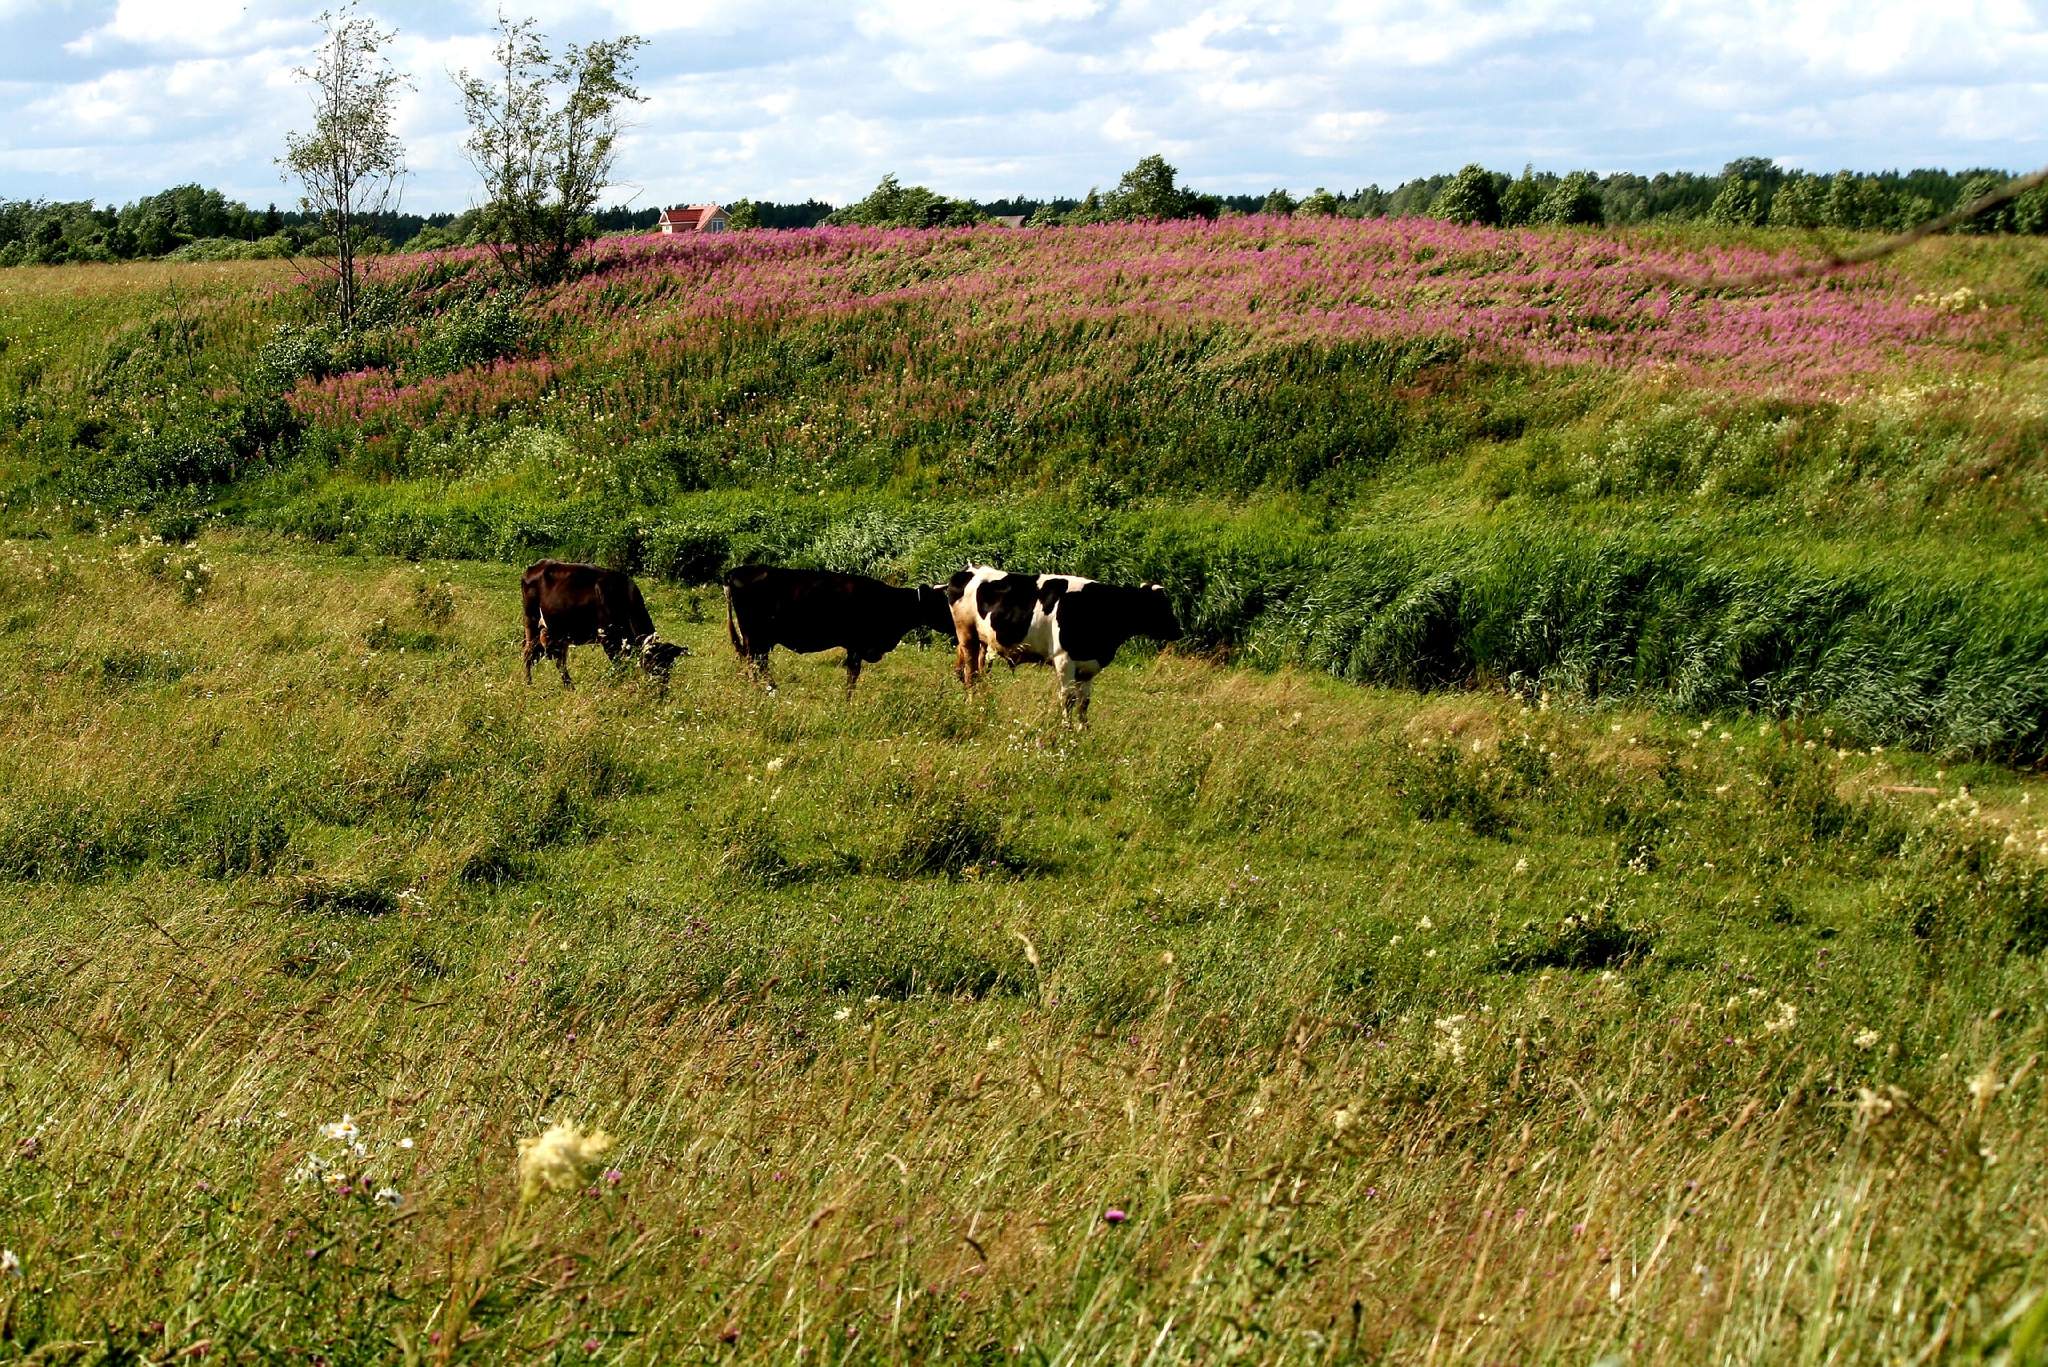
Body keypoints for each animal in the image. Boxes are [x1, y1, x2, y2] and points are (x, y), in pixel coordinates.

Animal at [520, 557, 688, 688]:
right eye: (653, 664)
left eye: (670, 665)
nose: (661, 690)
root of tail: (535, 566)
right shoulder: (609, 639)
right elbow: (619, 666)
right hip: (532, 622)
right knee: (529, 653)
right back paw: (529, 684)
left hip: (556, 631)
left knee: (557, 659)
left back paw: (569, 686)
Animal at [724, 565, 954, 696]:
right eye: (943, 603)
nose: (955, 624)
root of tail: (735, 571)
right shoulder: (857, 645)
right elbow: (852, 675)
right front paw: (847, 701)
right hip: (755, 635)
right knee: (754, 662)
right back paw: (764, 691)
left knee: (757, 662)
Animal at [946, 565, 1179, 725]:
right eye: (1161, 606)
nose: (1178, 629)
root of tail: (970, 569)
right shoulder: (1064, 660)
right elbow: (1068, 698)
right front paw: (1066, 729)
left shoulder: (1089, 666)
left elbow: (1084, 701)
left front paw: (1083, 730)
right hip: (967, 635)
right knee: (970, 675)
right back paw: (973, 705)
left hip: (984, 642)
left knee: (979, 673)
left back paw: (984, 704)